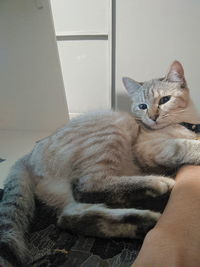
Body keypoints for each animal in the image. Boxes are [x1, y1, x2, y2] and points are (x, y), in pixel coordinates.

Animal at [0, 60, 200, 266]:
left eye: (164, 100)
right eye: (142, 106)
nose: (152, 117)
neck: (187, 125)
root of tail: (29, 154)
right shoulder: (147, 148)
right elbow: (182, 146)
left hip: (64, 194)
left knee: (70, 217)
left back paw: (144, 224)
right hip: (111, 130)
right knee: (86, 186)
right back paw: (158, 185)